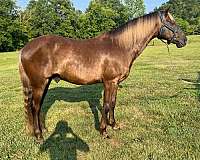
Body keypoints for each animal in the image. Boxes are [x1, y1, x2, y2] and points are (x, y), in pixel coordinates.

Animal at [18, 9, 188, 143]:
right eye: (171, 22)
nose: (184, 40)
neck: (120, 46)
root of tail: (25, 48)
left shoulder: (115, 83)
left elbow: (112, 103)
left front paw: (114, 125)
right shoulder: (109, 82)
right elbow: (106, 105)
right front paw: (104, 131)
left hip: (45, 83)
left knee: (39, 107)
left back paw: (44, 130)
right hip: (39, 84)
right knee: (35, 107)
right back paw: (39, 136)